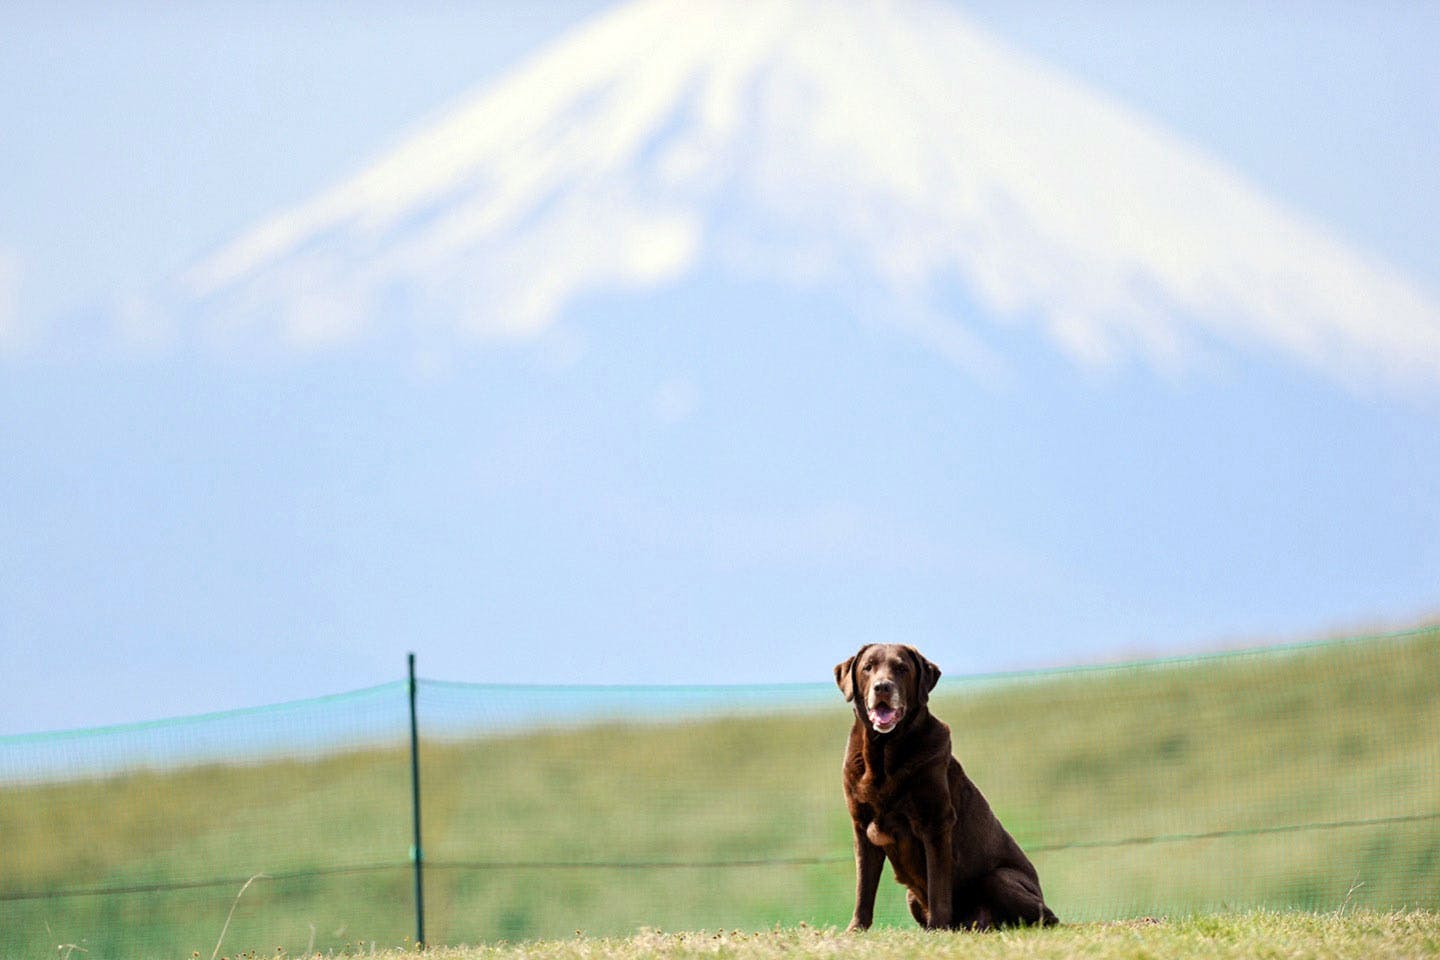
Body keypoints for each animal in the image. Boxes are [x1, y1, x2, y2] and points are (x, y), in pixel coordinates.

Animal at [835, 644, 1059, 932]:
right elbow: (864, 887)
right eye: (868, 667)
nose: (882, 687)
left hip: (998, 877)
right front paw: (856, 929)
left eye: (901, 668)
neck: (884, 756)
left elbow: (938, 884)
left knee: (1046, 915)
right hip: (911, 896)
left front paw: (937, 928)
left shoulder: (936, 822)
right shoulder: (862, 826)